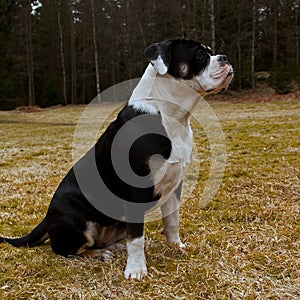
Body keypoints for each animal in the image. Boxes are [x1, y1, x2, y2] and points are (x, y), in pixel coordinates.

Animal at [0, 39, 233, 278]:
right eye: (199, 54)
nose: (225, 58)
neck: (171, 116)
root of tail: (47, 219)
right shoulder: (135, 190)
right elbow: (137, 237)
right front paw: (136, 270)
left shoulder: (174, 183)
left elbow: (172, 221)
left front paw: (176, 246)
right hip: (78, 222)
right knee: (66, 250)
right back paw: (99, 254)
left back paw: (114, 247)